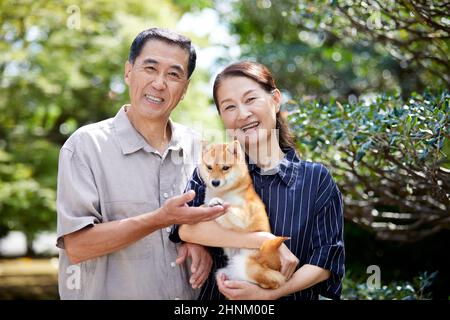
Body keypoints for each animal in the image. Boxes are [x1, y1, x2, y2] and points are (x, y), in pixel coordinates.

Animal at [198, 141, 288, 290]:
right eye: (209, 167)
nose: (215, 182)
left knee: (272, 283)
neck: (225, 192)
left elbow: (229, 207)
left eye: (225, 168)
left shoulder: (245, 216)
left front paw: (219, 202)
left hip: (247, 265)